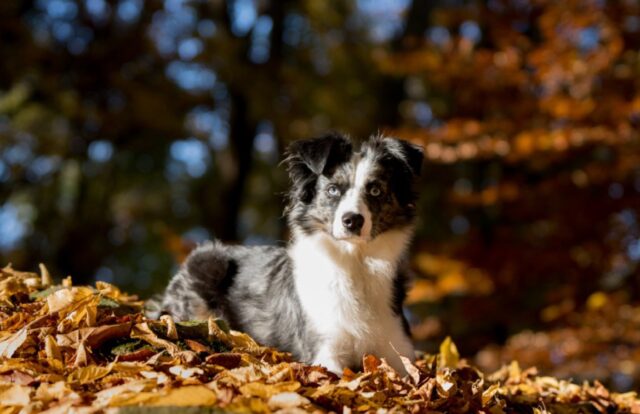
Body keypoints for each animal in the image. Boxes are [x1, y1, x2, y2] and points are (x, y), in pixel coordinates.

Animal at [156, 133, 424, 376]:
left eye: (376, 190)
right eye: (333, 190)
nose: (352, 220)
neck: (353, 261)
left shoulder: (399, 347)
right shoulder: (323, 349)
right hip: (209, 263)